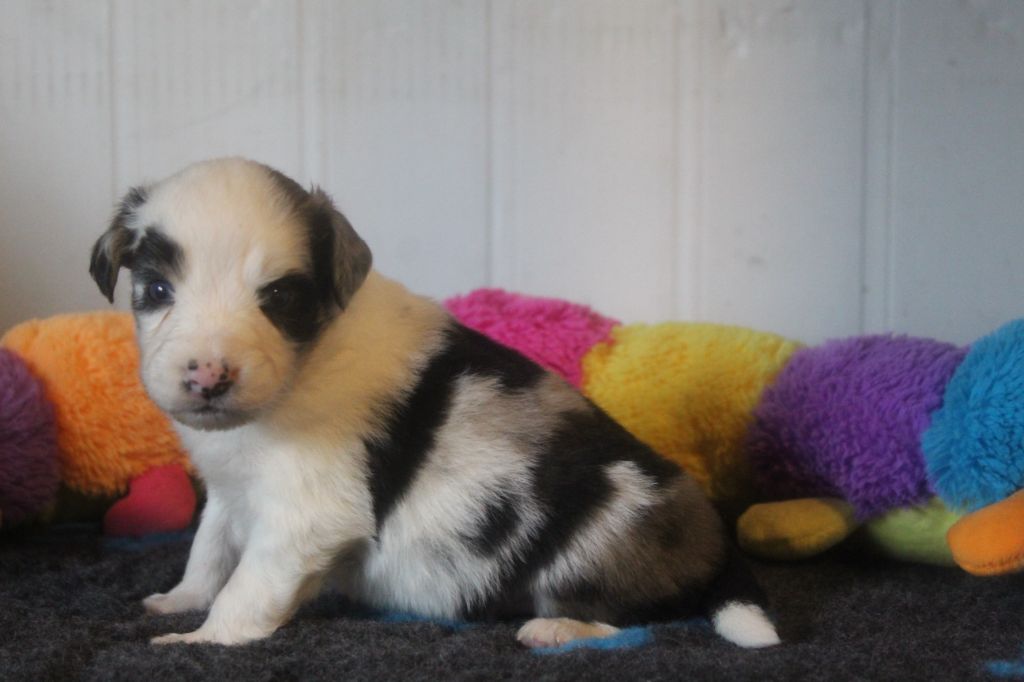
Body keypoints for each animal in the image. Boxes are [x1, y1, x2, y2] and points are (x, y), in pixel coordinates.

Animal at [88, 158, 780, 649]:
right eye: (156, 290)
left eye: (279, 298)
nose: (207, 375)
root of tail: (716, 547)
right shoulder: (232, 492)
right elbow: (209, 552)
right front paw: (178, 601)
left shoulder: (304, 515)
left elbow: (247, 587)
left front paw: (199, 640)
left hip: (602, 531)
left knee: (634, 615)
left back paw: (557, 631)